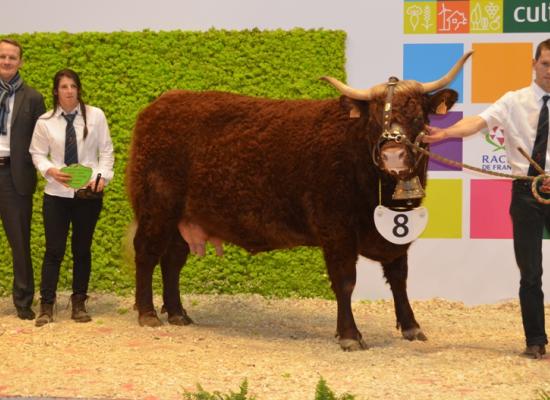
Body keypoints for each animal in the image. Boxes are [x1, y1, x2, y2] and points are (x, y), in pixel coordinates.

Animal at [127, 52, 472, 350]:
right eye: (375, 117)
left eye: (417, 112)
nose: (394, 155)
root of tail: (162, 102)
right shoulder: (336, 230)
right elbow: (345, 282)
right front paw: (350, 335)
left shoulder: (398, 235)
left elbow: (399, 279)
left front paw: (412, 327)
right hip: (156, 206)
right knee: (146, 253)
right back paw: (148, 313)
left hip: (183, 218)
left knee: (173, 259)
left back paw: (178, 313)